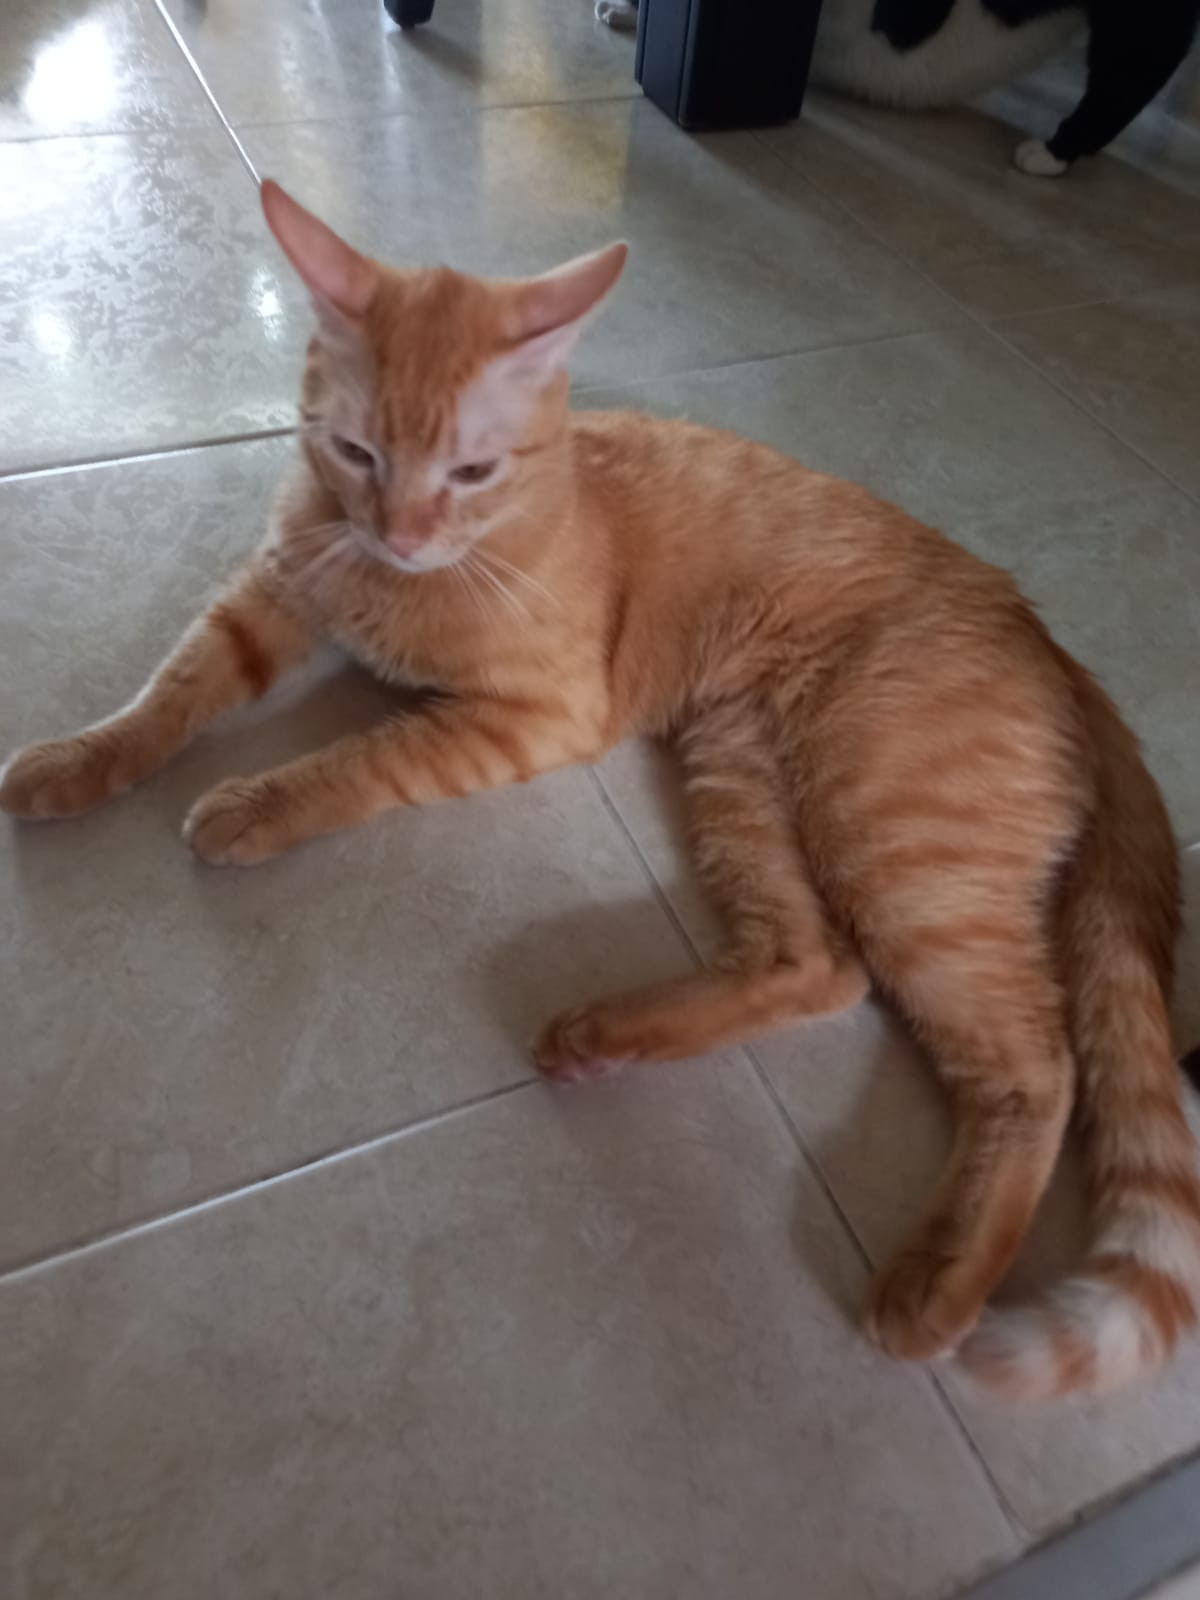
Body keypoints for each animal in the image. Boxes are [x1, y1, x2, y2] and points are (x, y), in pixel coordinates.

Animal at [4, 181, 1199, 1399]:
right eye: (355, 451)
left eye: (470, 472)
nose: (402, 534)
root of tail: (1040, 629)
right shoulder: (274, 601)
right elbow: (171, 690)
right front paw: (79, 756)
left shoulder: (532, 716)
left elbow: (358, 761)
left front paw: (255, 805)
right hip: (745, 776)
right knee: (818, 966)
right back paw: (607, 1035)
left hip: (897, 842)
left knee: (1036, 1064)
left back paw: (940, 1283)